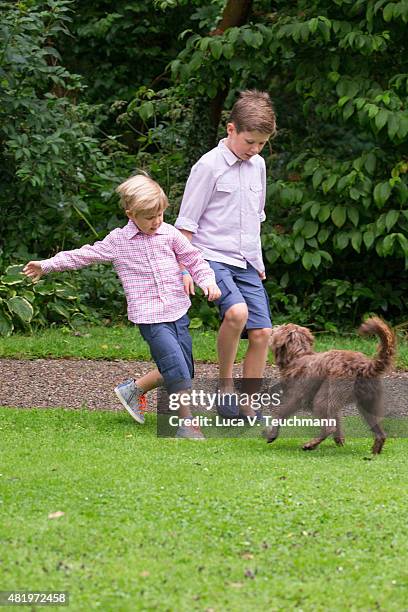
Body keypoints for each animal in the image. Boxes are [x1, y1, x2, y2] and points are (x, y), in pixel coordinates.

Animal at [264, 320, 396, 454]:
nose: (272, 328)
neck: (297, 356)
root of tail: (364, 366)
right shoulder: (333, 406)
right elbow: (337, 423)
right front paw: (340, 441)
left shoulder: (296, 397)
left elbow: (280, 413)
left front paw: (271, 435)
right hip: (367, 402)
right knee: (380, 431)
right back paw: (375, 452)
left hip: (323, 398)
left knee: (328, 428)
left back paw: (310, 445)